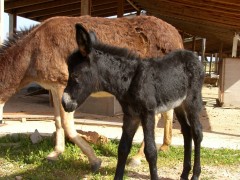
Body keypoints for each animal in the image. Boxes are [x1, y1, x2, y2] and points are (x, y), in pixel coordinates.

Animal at [62, 23, 204, 180]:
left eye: (75, 75)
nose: (64, 103)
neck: (129, 80)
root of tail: (192, 55)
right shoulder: (131, 116)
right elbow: (123, 148)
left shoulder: (148, 113)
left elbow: (151, 151)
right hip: (179, 104)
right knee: (187, 131)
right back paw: (184, 173)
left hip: (192, 101)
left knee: (197, 132)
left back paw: (195, 174)